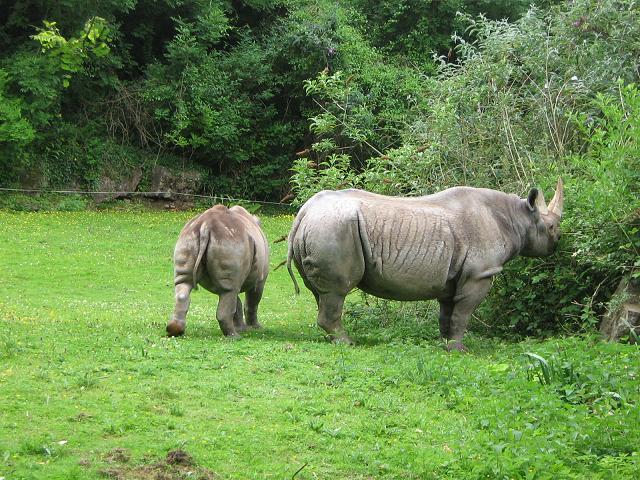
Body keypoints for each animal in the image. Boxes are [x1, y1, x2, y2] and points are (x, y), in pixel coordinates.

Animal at [166, 205, 269, 338]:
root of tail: (205, 225)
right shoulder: (260, 279)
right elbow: (252, 301)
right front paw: (255, 328)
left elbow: (237, 303)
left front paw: (242, 328)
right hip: (231, 242)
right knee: (230, 292)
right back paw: (234, 336)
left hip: (188, 237)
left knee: (184, 283)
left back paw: (174, 330)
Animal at [287, 179, 564, 350]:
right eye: (551, 227)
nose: (557, 243)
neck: (517, 217)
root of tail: (303, 213)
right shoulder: (480, 273)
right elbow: (463, 313)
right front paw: (460, 349)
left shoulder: (453, 277)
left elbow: (448, 313)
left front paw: (446, 343)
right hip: (333, 228)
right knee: (337, 290)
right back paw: (348, 343)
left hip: (323, 227)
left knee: (321, 293)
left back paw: (335, 338)